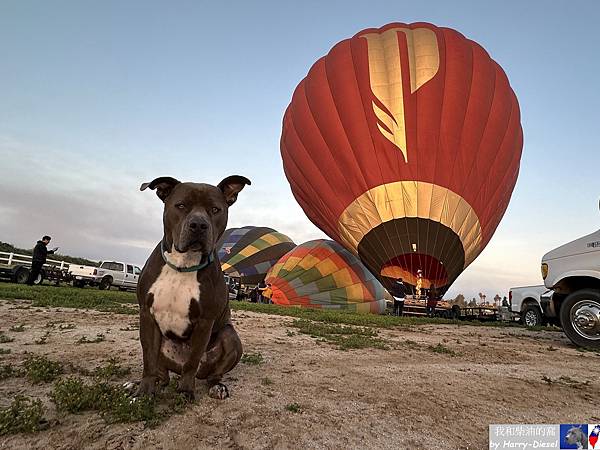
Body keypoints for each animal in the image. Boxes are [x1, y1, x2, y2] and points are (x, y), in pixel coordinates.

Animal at [135, 176, 248, 400]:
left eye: (215, 209)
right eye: (181, 205)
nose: (198, 224)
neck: (183, 264)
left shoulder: (205, 321)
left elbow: (192, 361)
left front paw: (186, 390)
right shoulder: (147, 314)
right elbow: (149, 359)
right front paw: (144, 392)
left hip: (230, 338)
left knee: (212, 372)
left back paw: (217, 386)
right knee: (163, 374)